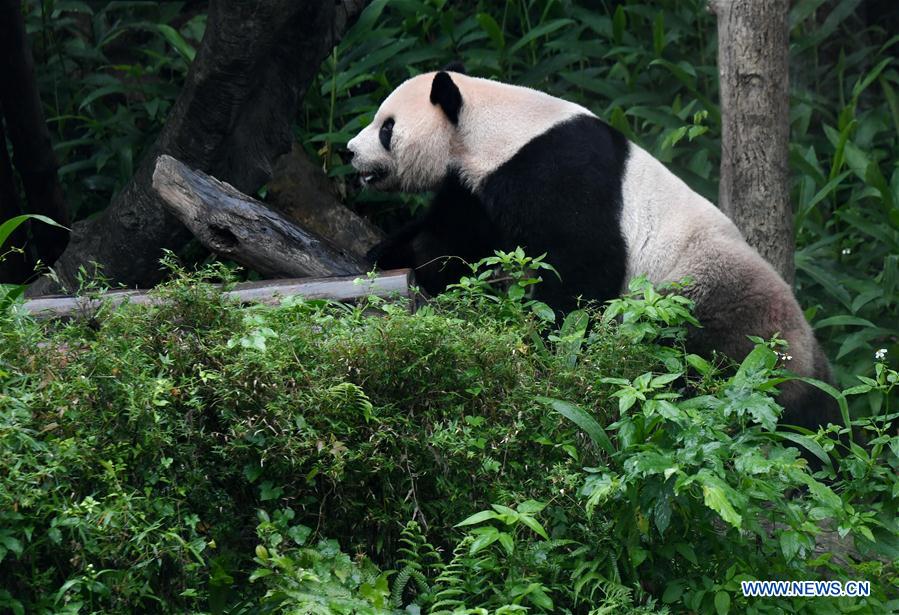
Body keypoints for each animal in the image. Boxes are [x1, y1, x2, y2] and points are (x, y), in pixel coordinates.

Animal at [347, 67, 839, 430]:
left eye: (387, 127)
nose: (350, 151)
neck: (492, 129)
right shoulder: (474, 191)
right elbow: (447, 242)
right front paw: (384, 258)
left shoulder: (557, 174)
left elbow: (581, 271)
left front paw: (549, 343)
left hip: (712, 301)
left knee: (709, 361)